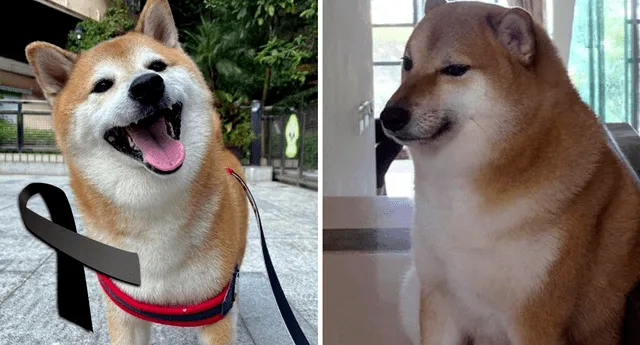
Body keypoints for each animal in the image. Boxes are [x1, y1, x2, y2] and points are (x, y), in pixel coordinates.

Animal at [23, 1, 248, 342]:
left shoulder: (214, 311)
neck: (152, 204)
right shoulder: (124, 312)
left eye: (157, 66)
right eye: (102, 85)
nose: (147, 85)